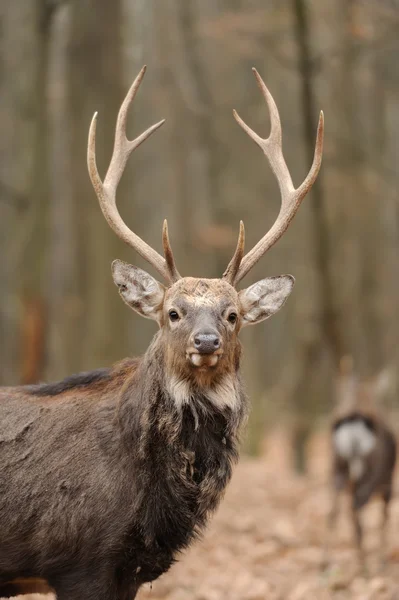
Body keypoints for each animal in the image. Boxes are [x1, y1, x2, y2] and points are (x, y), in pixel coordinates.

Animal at [324, 356, 396, 572]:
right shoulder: (388, 483)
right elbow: (384, 519)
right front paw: (382, 561)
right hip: (371, 476)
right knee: (357, 509)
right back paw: (364, 565)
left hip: (337, 469)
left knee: (334, 511)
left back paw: (325, 562)